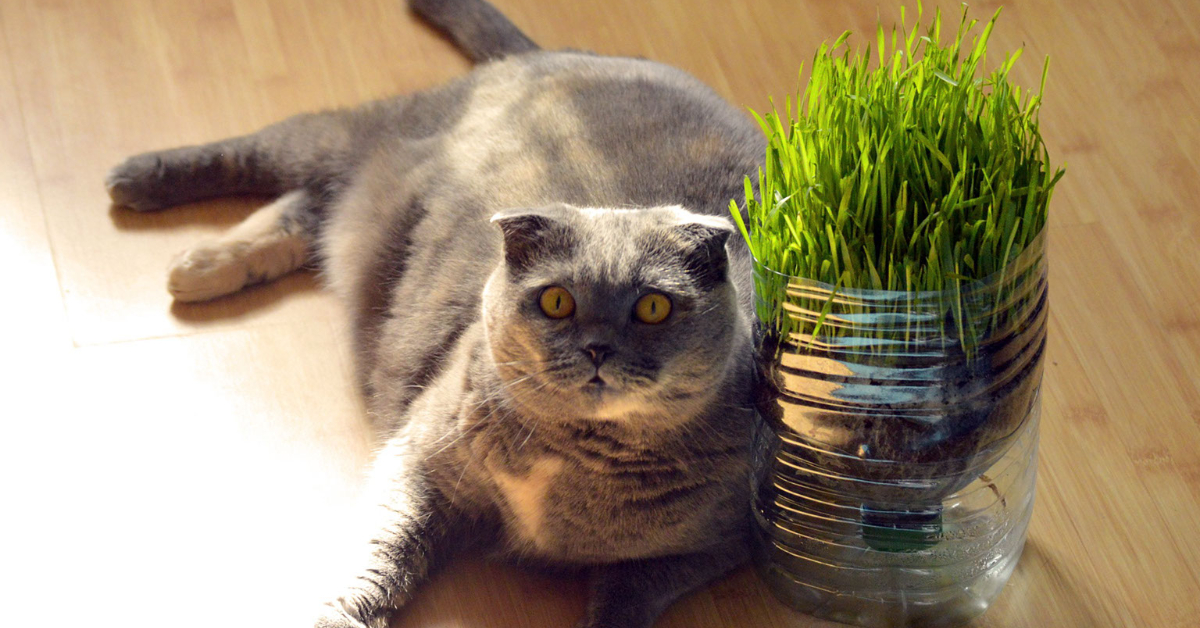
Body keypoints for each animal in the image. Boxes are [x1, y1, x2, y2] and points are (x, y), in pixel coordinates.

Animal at [108, 1, 768, 628]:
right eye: (557, 301)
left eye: (653, 307)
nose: (597, 348)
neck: (575, 457)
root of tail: (566, 53)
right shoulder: (419, 460)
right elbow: (376, 562)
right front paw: (340, 615)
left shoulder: (704, 551)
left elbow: (622, 605)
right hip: (366, 138)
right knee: (279, 152)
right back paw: (142, 187)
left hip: (372, 210)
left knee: (313, 210)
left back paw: (203, 264)